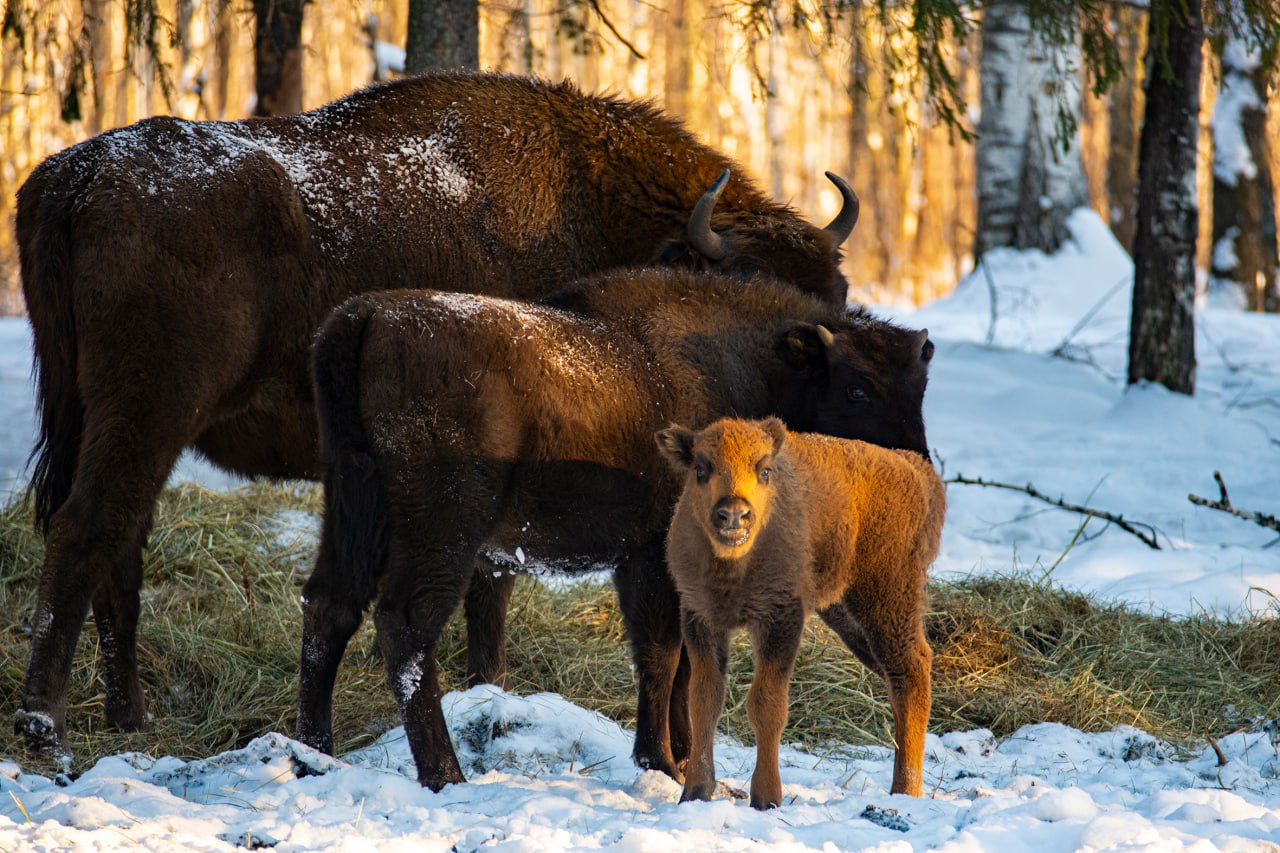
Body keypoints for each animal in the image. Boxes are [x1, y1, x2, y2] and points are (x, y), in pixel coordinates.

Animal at [12, 69, 860, 753]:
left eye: (837, 292)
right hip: (148, 411)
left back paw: (128, 715)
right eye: (750, 284)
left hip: (107, 415)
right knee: (88, 527)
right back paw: (43, 720)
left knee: (121, 542)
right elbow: (494, 586)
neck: (590, 207)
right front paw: (491, 689)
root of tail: (75, 175)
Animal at [660, 417, 942, 804]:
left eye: (764, 470)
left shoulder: (780, 619)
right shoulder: (701, 618)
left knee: (910, 671)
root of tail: (912, 467)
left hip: (886, 600)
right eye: (700, 469)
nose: (733, 515)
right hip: (847, 614)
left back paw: (904, 790)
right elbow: (705, 699)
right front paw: (695, 792)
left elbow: (767, 704)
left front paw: (766, 797)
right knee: (899, 675)